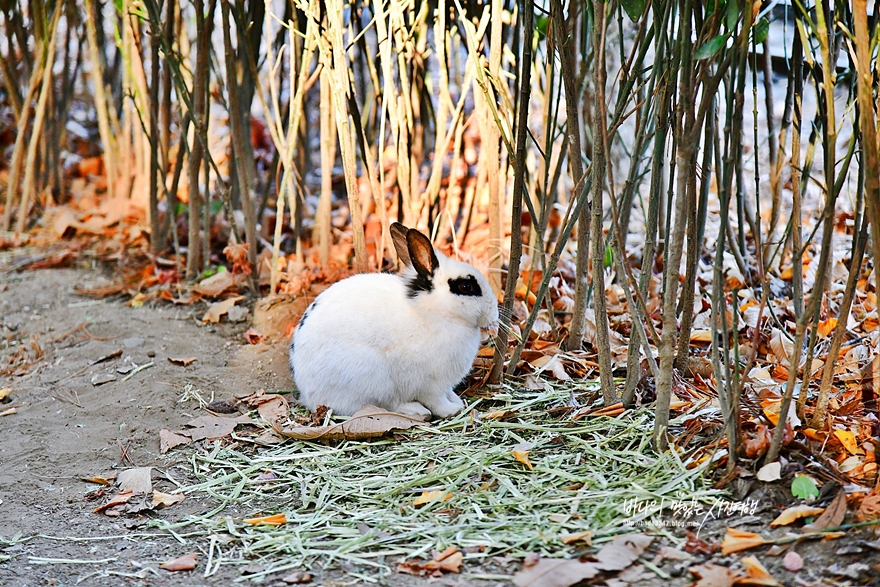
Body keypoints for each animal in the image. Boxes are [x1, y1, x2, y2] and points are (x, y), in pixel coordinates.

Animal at [288, 223, 496, 420]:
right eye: (465, 286)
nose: (494, 311)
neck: (435, 311)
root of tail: (307, 393)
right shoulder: (431, 385)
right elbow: (437, 402)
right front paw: (452, 410)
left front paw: (457, 400)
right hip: (375, 380)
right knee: (386, 404)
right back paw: (417, 411)